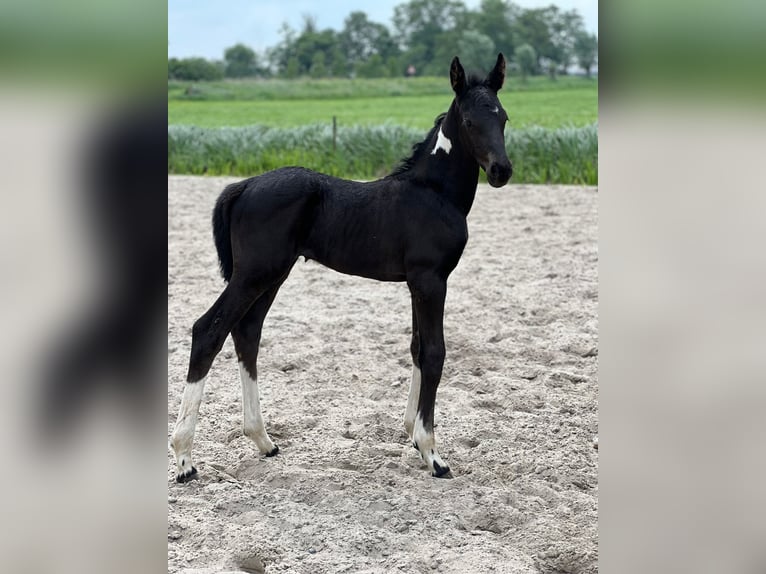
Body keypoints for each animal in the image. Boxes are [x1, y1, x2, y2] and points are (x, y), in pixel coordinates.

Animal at [171, 55, 512, 482]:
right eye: (469, 121)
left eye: (503, 117)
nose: (501, 170)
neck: (432, 194)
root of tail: (244, 186)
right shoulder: (431, 280)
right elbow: (435, 352)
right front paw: (433, 454)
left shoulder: (417, 283)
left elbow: (417, 348)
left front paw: (412, 435)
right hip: (254, 273)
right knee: (209, 331)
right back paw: (185, 460)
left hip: (271, 275)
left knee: (247, 332)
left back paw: (264, 441)